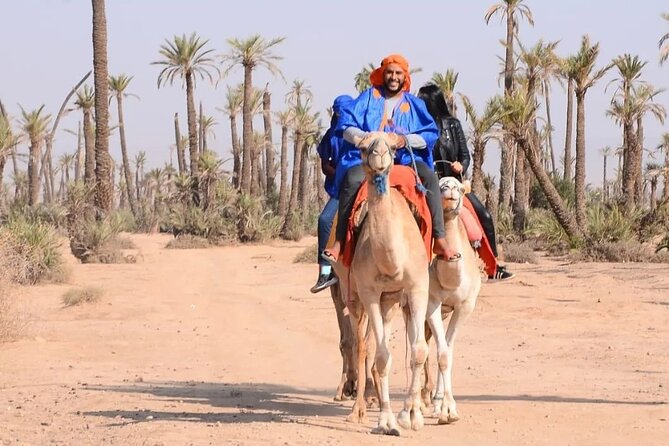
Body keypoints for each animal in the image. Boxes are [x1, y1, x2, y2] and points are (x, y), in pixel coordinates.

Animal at [329, 132, 430, 436]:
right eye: (363, 147)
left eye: (395, 146)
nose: (380, 154)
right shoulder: (370, 292)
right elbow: (382, 355)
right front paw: (386, 421)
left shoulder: (416, 288)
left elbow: (418, 350)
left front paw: (411, 415)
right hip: (352, 293)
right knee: (360, 344)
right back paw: (357, 408)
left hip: (392, 300)